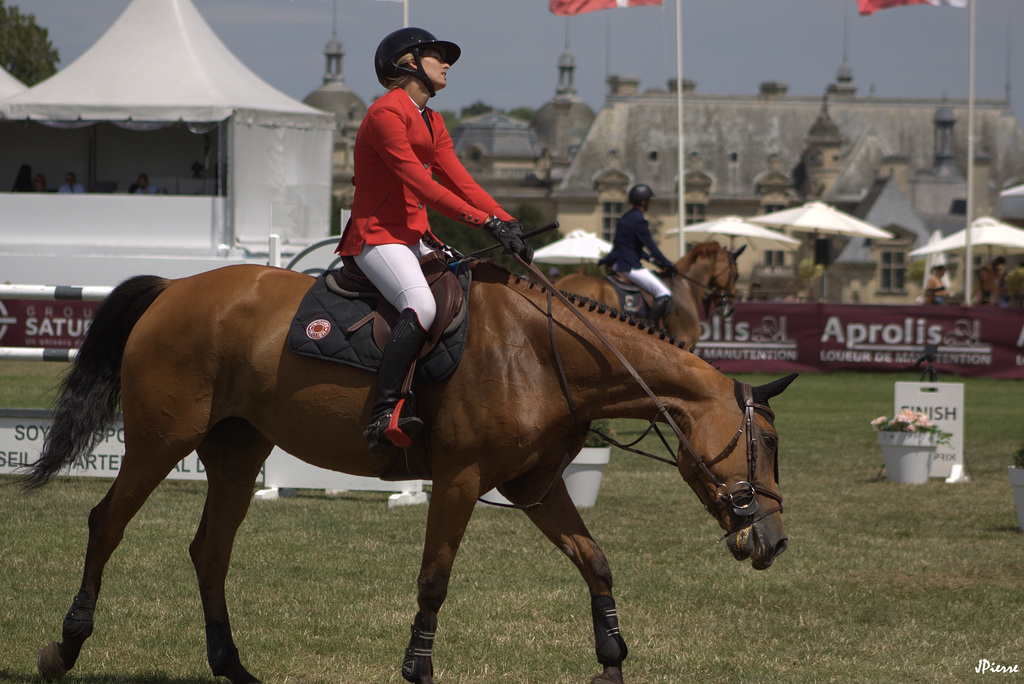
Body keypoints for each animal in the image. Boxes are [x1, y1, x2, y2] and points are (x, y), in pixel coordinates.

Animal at [19, 260, 794, 684]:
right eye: (768, 442)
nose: (775, 540)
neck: (544, 353)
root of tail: (176, 287)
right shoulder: (460, 480)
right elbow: (435, 580)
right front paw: (417, 666)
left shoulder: (533, 488)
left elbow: (595, 560)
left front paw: (611, 657)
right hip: (158, 441)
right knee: (106, 523)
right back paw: (67, 644)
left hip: (238, 455)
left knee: (210, 551)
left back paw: (230, 664)